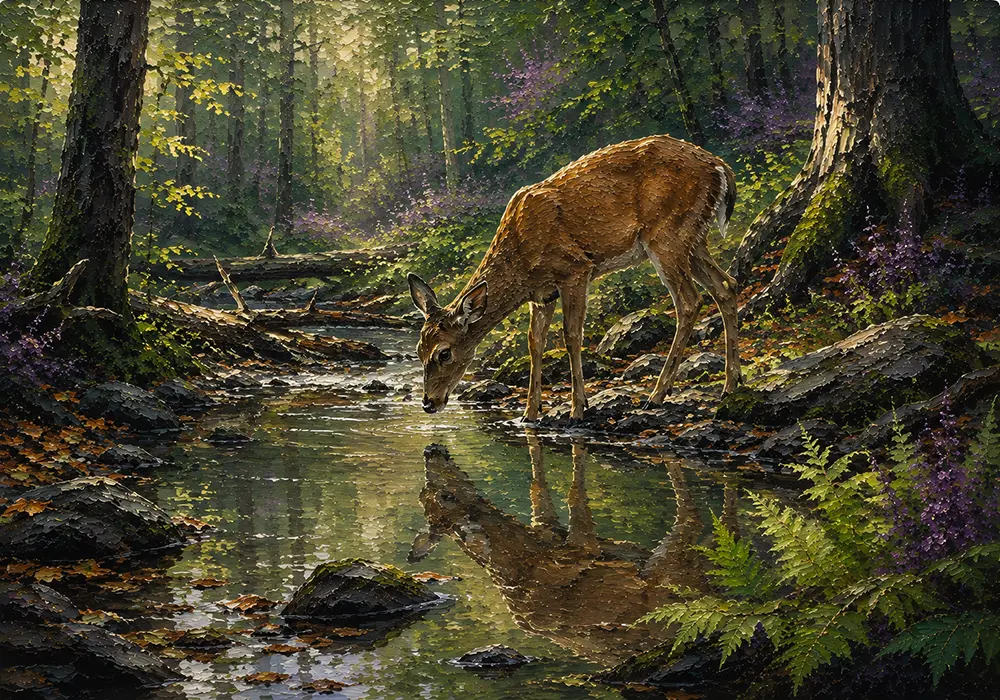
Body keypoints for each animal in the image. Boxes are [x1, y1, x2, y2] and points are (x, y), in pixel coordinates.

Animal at [407, 134, 742, 422]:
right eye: (418, 351)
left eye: (444, 353)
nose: (428, 403)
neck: (521, 261)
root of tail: (721, 167)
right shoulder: (542, 295)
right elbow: (535, 342)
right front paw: (529, 413)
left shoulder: (576, 270)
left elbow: (571, 335)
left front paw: (578, 408)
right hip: (693, 238)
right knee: (727, 285)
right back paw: (731, 384)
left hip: (668, 234)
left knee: (690, 301)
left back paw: (658, 394)